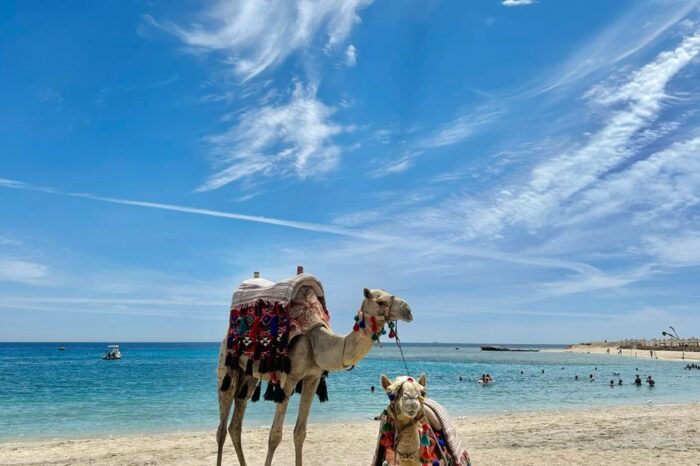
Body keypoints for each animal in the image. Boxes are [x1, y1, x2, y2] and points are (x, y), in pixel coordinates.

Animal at [213, 280, 410, 466]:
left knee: (236, 421)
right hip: (226, 364)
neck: (317, 343)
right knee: (221, 426)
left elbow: (300, 432)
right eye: (380, 301)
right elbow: (275, 435)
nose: (407, 309)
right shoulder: (289, 379)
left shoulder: (312, 378)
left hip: (249, 375)